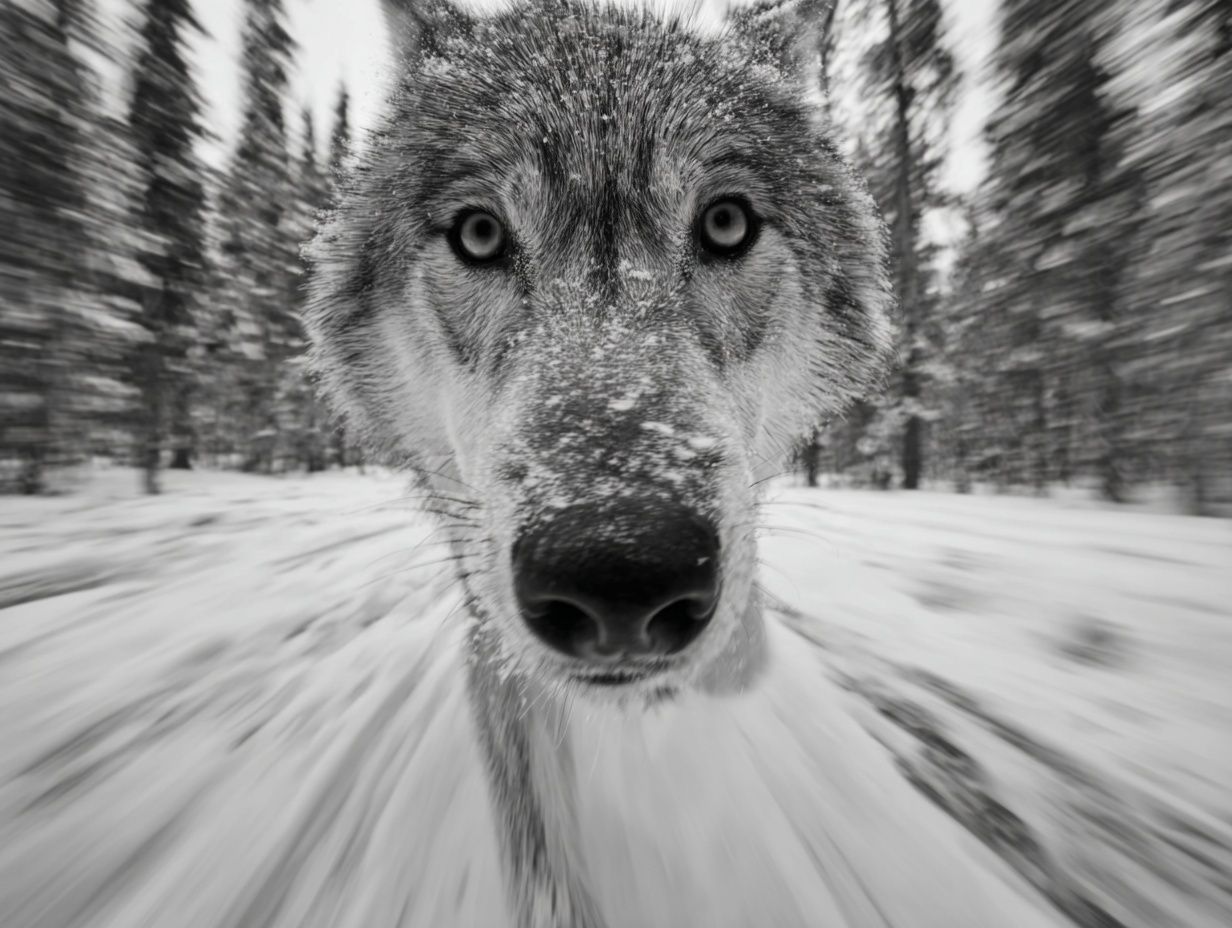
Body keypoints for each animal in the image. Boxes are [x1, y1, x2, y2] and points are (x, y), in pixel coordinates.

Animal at [305, 2, 1051, 926]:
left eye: (726, 223)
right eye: (479, 233)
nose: (619, 570)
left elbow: (741, 645)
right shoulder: (487, 606)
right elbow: (540, 840)